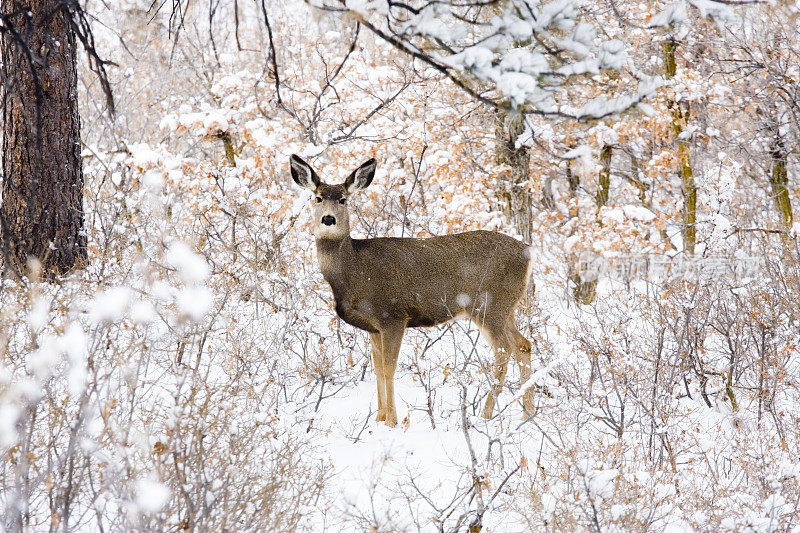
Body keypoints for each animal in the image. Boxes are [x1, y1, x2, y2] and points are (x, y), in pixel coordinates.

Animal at [290, 153, 536, 424]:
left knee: (504, 351)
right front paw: (378, 419)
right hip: (506, 307)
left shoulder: (393, 316)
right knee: (524, 345)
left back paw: (485, 414)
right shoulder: (373, 327)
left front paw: (392, 420)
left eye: (343, 199)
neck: (353, 272)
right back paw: (528, 415)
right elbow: (377, 369)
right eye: (317, 198)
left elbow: (388, 369)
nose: (328, 219)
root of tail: (528, 252)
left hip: (489, 305)